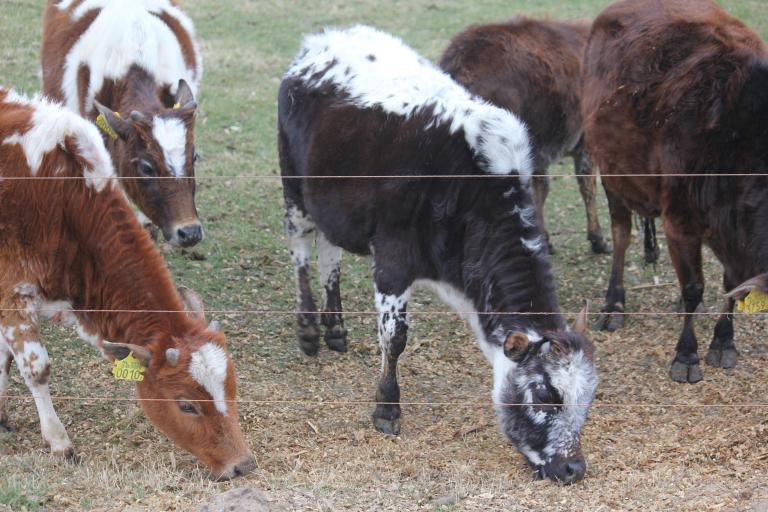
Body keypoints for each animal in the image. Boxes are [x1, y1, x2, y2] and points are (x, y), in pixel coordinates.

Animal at [0, 89, 256, 480]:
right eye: (186, 405)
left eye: (231, 387)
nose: (242, 465)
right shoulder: (13, 293)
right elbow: (37, 369)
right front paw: (58, 441)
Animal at [280, 26, 596, 484]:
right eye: (544, 393)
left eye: (587, 398)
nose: (572, 467)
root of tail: (324, 40)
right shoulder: (393, 262)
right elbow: (394, 338)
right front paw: (387, 409)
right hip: (293, 188)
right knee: (302, 250)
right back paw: (308, 328)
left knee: (329, 253)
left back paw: (334, 327)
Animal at [584, 0, 768, 382]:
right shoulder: (680, 221)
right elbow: (693, 286)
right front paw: (686, 355)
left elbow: (731, 284)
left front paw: (723, 341)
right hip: (610, 172)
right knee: (621, 234)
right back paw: (614, 303)